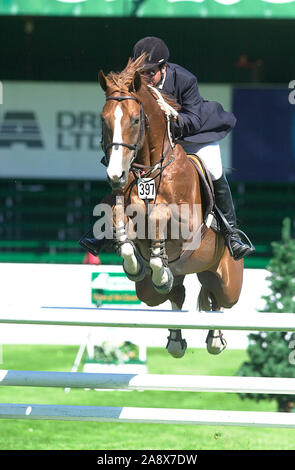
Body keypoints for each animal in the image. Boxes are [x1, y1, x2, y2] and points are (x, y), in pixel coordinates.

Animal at [97, 55, 245, 356]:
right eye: (103, 119)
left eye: (135, 119)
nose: (116, 175)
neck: (150, 170)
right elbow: (119, 218)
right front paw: (134, 262)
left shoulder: (188, 226)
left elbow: (158, 215)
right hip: (150, 291)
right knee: (177, 292)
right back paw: (175, 331)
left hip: (229, 282)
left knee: (218, 298)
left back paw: (215, 338)